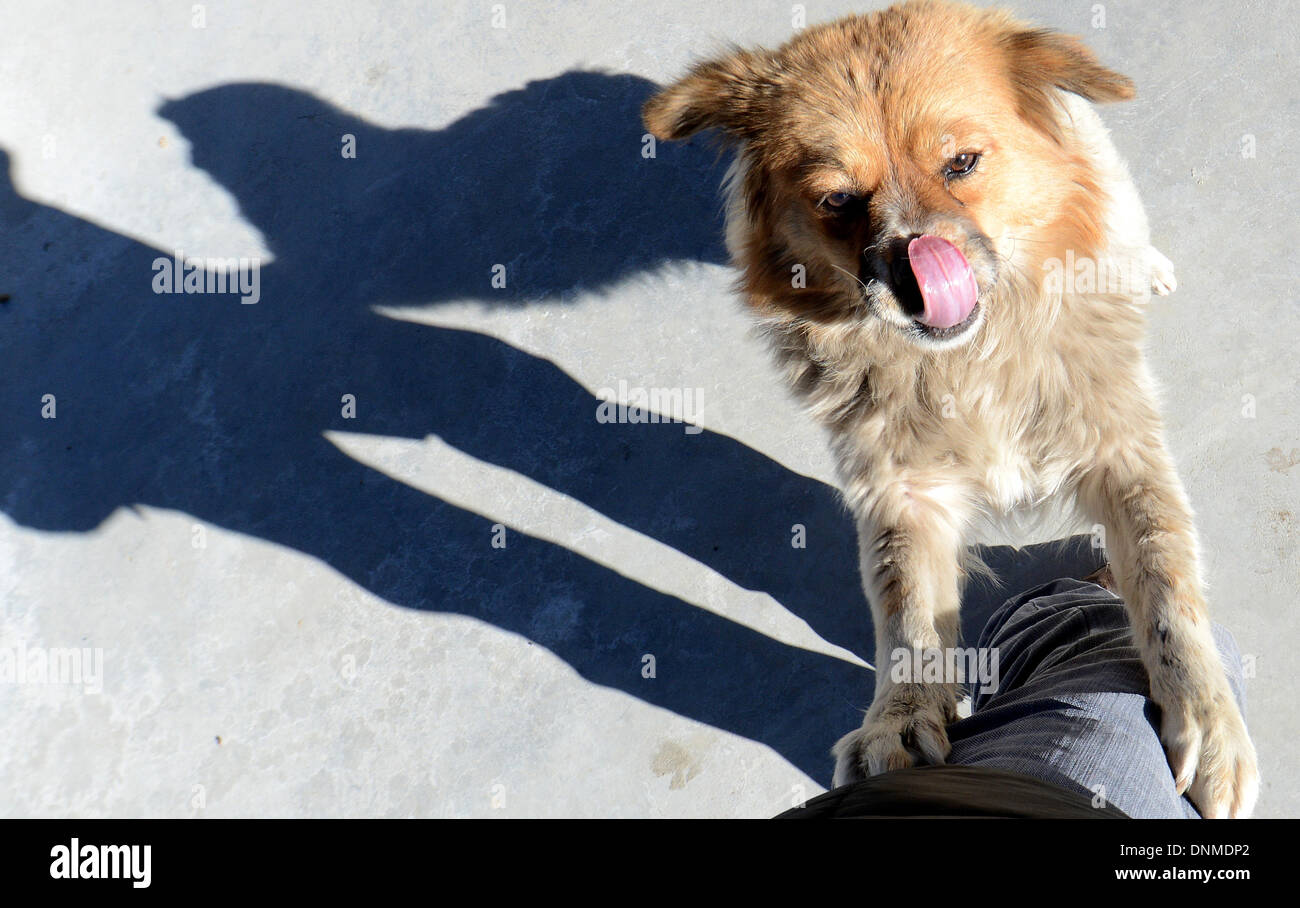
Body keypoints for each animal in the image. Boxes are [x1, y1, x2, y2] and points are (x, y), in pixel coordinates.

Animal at [650, 0, 1258, 816]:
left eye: (962, 163)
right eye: (837, 200)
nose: (916, 277)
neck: (969, 361)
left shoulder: (1122, 447)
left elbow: (1166, 584)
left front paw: (1207, 720)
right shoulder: (901, 490)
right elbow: (907, 610)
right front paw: (899, 722)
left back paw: (1145, 266)